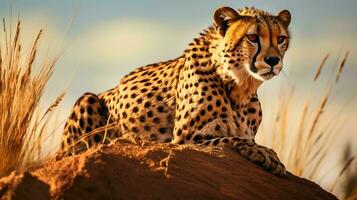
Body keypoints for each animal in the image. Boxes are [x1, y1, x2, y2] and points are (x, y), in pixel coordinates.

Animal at [60, 6, 290, 176]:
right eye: (252, 37)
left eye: (281, 39)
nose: (273, 60)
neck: (239, 86)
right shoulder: (183, 140)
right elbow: (230, 139)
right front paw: (266, 153)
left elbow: (237, 137)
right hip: (87, 100)